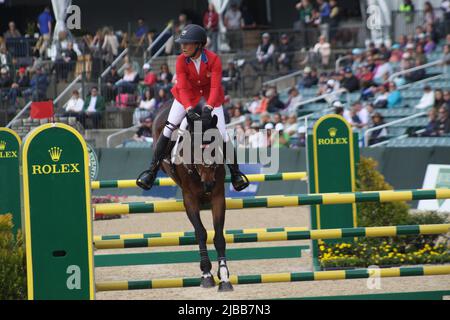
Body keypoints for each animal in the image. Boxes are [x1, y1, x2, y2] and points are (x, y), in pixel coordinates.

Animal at [152, 102, 236, 292]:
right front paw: (206, 274)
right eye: (194, 149)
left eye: (215, 148)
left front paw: (224, 276)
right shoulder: (189, 199)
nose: (208, 185)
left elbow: (218, 236)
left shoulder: (218, 197)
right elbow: (201, 233)